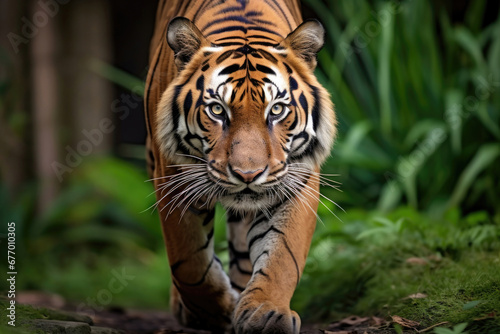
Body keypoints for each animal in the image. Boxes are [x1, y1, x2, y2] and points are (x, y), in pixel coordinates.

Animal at [144, 0, 336, 334]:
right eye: (217, 110)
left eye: (277, 110)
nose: (248, 174)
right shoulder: (172, 178)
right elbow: (189, 262)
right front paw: (216, 311)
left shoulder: (298, 178)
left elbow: (282, 254)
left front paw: (266, 313)